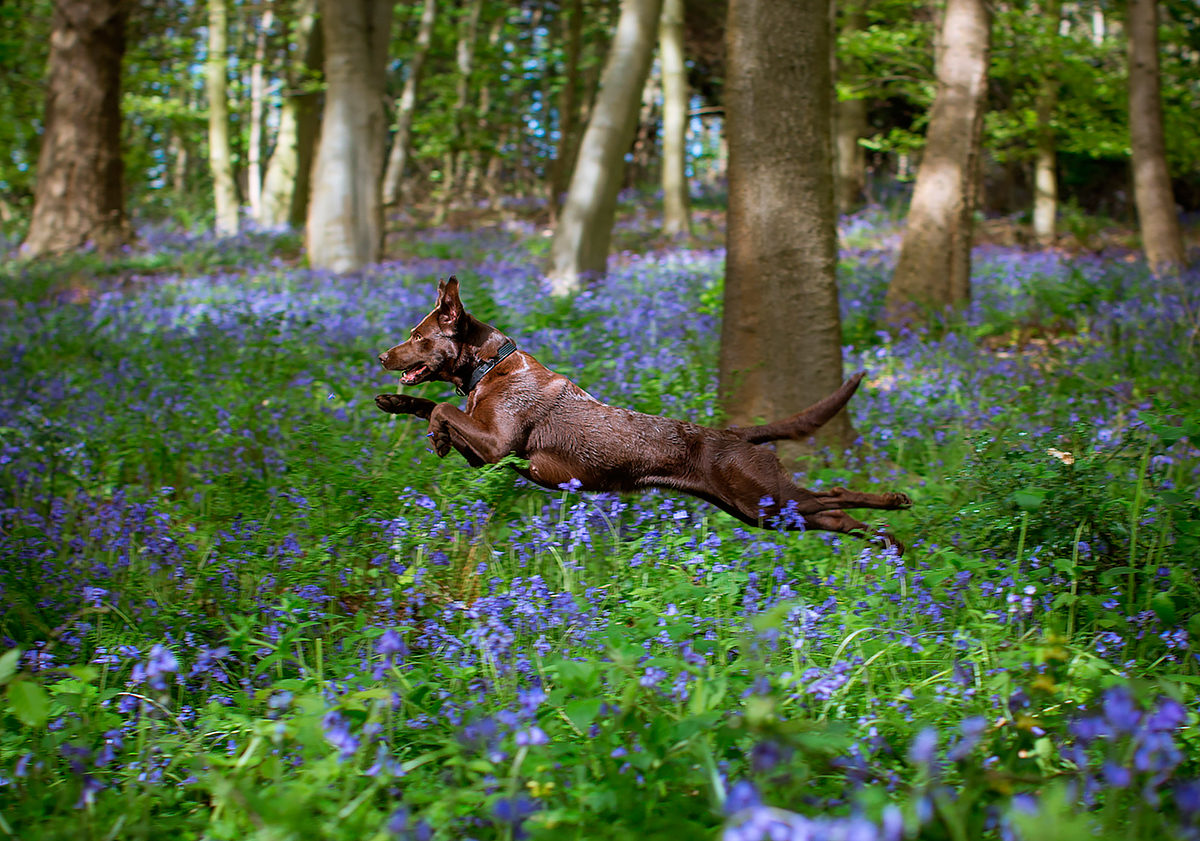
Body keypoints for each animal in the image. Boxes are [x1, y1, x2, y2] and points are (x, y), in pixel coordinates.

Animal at [374, 275, 907, 551]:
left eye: (418, 337)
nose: (381, 357)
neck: (489, 367)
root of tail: (736, 433)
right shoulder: (484, 454)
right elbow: (434, 404)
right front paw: (397, 403)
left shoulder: (498, 446)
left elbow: (444, 407)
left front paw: (436, 436)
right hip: (758, 511)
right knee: (833, 514)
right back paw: (888, 542)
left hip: (762, 500)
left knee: (834, 494)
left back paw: (894, 504)